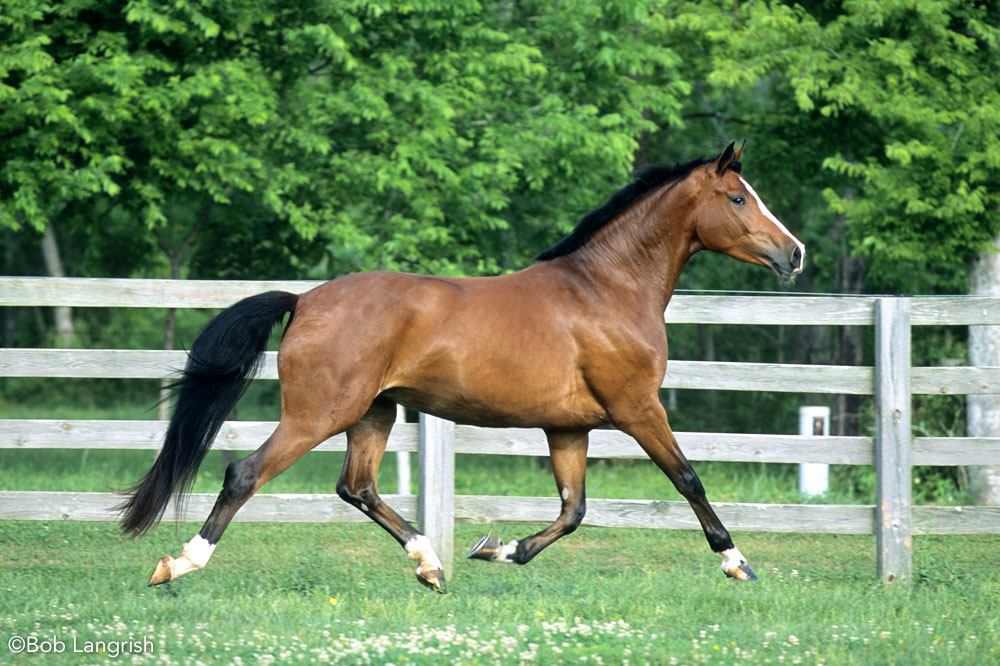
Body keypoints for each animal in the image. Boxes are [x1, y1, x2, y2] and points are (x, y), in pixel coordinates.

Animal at [119, 143, 804, 588]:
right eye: (738, 198)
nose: (794, 254)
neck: (605, 291)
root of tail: (306, 299)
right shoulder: (638, 408)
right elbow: (688, 480)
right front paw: (737, 563)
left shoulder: (569, 428)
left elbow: (573, 510)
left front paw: (498, 549)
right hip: (320, 414)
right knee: (245, 473)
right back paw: (177, 564)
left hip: (374, 413)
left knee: (357, 487)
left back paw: (431, 564)